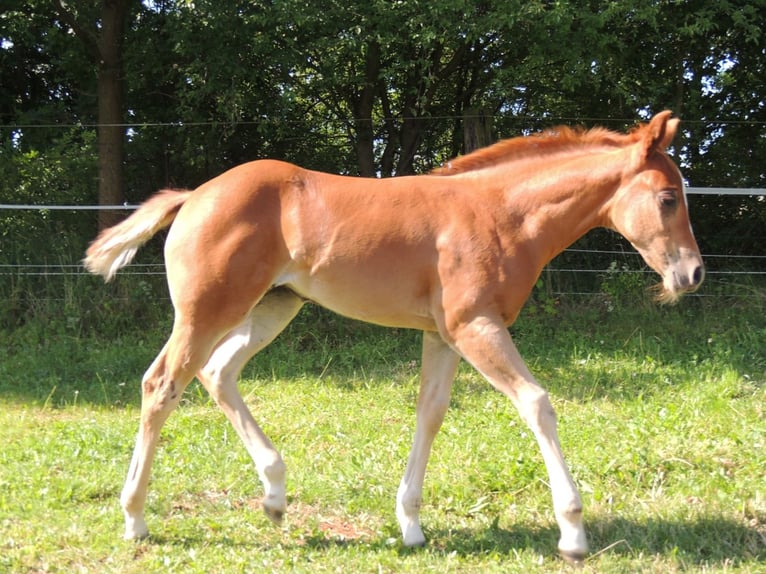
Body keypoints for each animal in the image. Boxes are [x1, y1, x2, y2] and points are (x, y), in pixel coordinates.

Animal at [84, 110, 703, 562]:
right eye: (668, 198)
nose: (692, 275)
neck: (501, 214)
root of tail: (192, 196)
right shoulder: (475, 325)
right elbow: (537, 403)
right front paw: (572, 531)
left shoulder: (445, 336)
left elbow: (429, 413)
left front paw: (410, 524)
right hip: (205, 312)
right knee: (162, 384)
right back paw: (135, 517)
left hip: (274, 307)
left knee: (217, 374)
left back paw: (275, 495)